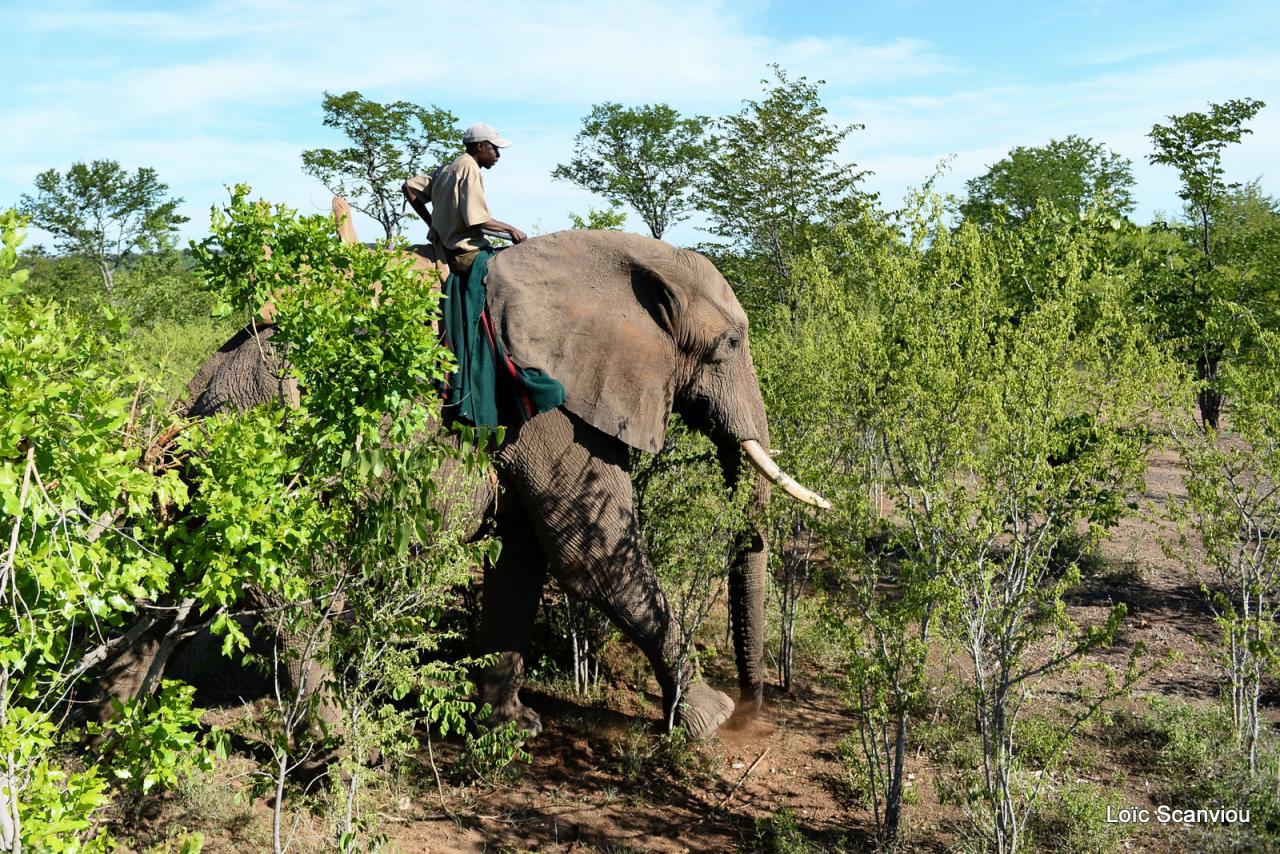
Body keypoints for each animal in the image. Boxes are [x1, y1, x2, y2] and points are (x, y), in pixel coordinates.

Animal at [149, 213, 829, 742]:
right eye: (731, 344)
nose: (757, 712)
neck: (622, 260)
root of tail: (198, 391)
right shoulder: (547, 404)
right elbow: (595, 559)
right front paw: (709, 723)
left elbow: (522, 559)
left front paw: (510, 727)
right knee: (296, 591)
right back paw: (336, 743)